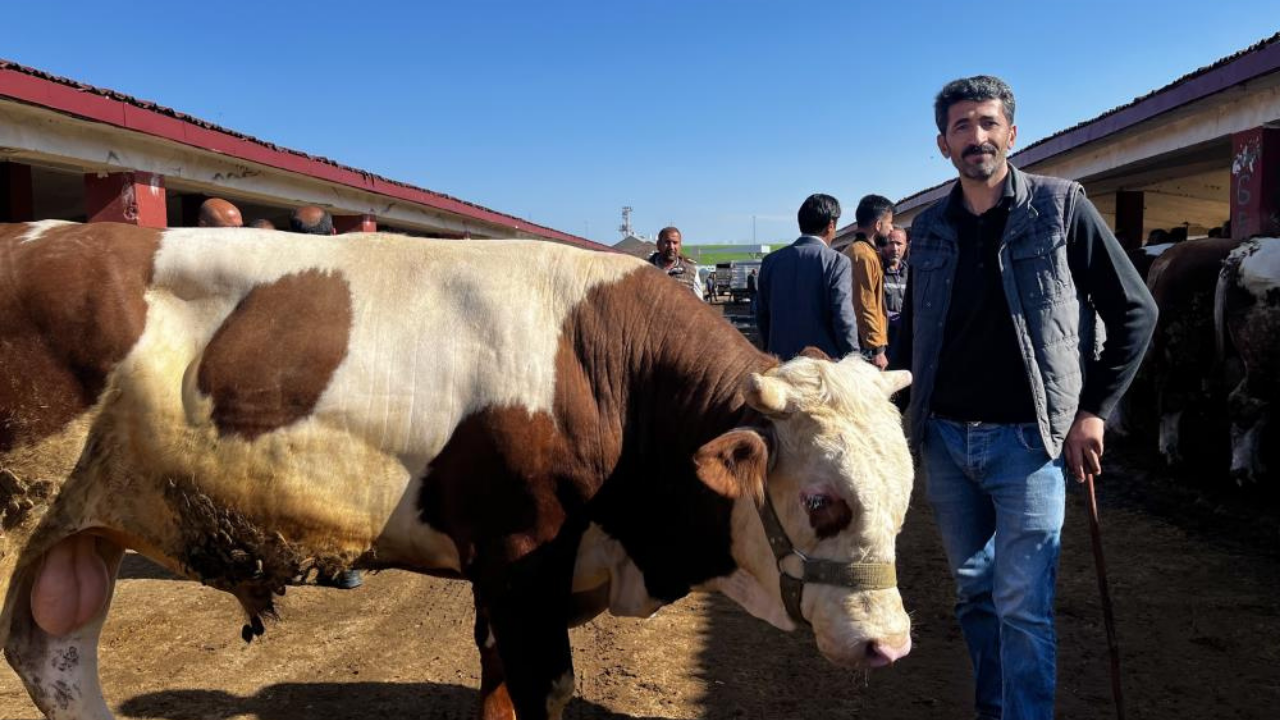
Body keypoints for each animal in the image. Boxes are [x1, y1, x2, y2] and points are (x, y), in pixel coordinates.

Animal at [2, 221, 921, 712]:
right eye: (822, 501)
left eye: (907, 499)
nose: (890, 645)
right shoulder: (521, 558)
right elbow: (544, 687)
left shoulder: (514, 570)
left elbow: (497, 684)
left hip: (78, 533)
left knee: (54, 661)